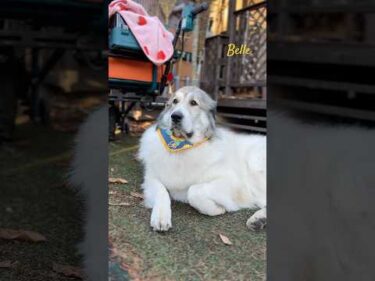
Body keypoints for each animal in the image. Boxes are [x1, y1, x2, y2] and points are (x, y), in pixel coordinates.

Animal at [139, 85, 268, 230]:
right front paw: (160, 216)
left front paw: (216, 209)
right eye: (175, 101)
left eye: (193, 103)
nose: (175, 116)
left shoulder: (233, 182)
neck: (181, 146)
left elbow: (193, 191)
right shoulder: (151, 178)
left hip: (255, 164)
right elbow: (162, 192)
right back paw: (259, 219)